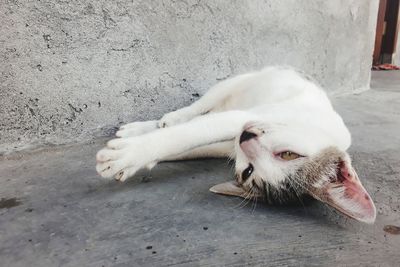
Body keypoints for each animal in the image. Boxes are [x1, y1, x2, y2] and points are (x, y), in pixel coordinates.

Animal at [95, 66, 376, 224]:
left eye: (248, 171)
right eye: (289, 155)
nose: (245, 137)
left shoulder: (229, 144)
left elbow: (192, 144)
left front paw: (145, 158)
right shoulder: (244, 118)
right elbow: (188, 134)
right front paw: (131, 155)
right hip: (232, 84)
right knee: (194, 111)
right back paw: (164, 120)